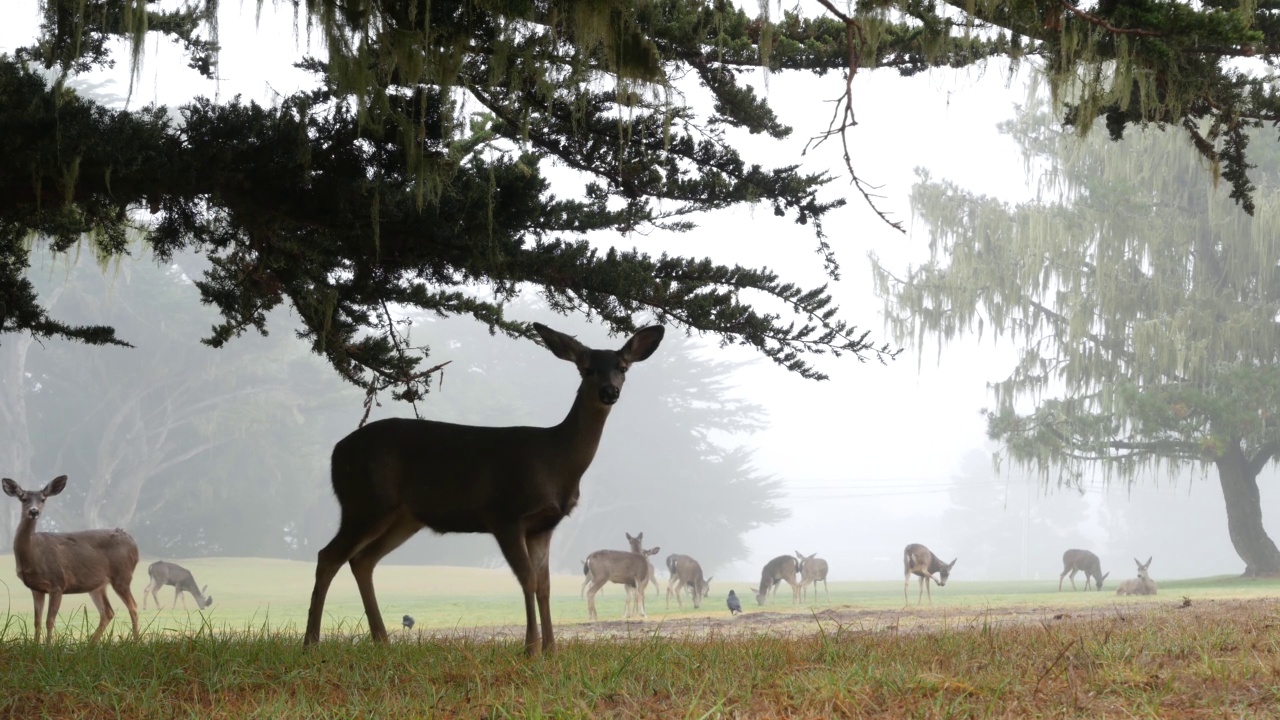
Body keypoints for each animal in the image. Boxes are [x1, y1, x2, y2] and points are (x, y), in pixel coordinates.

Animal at [0, 476, 140, 638]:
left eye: (43, 499)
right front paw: (35, 644)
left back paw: (135, 641)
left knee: (133, 606)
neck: (34, 554)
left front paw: (49, 644)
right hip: (97, 584)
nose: (34, 511)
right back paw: (90, 643)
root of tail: (133, 542)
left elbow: (49, 621)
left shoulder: (57, 583)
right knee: (108, 612)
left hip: (122, 575)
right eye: (23, 499)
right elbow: (37, 623)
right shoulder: (36, 588)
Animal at [304, 322, 665, 653]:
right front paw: (531, 648)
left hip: (404, 517)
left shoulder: (544, 526)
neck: (555, 462)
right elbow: (527, 580)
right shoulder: (505, 514)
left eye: (622, 367)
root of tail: (336, 452)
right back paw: (311, 642)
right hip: (365, 501)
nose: (609, 391)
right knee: (328, 556)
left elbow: (545, 585)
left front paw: (551, 648)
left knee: (362, 560)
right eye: (587, 369)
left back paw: (382, 640)